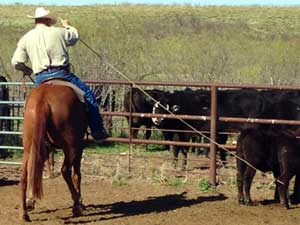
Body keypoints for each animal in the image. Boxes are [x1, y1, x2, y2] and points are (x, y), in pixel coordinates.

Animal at [19, 83, 87, 221]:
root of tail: (43, 99)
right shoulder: (79, 147)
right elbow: (77, 174)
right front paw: (80, 202)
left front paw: (31, 200)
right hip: (71, 147)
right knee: (65, 170)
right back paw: (76, 204)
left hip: (29, 148)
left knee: (25, 175)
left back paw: (24, 213)